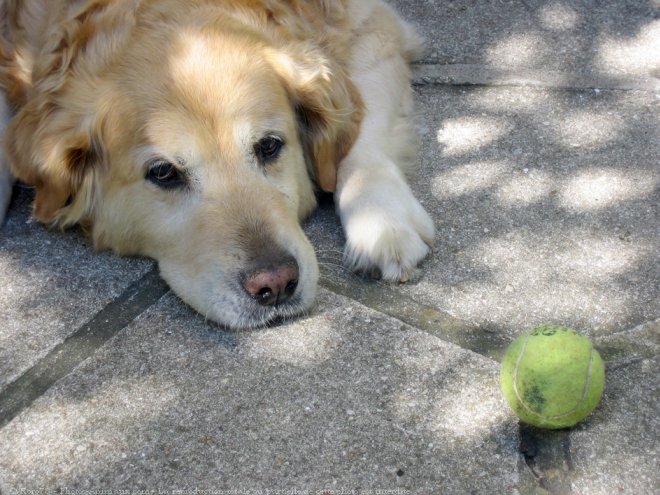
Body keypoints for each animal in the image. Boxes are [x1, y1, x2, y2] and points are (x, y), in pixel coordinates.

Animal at [1, 0, 434, 330]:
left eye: (269, 146)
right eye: (163, 173)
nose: (277, 284)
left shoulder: (371, 25)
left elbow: (362, 132)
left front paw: (383, 221)